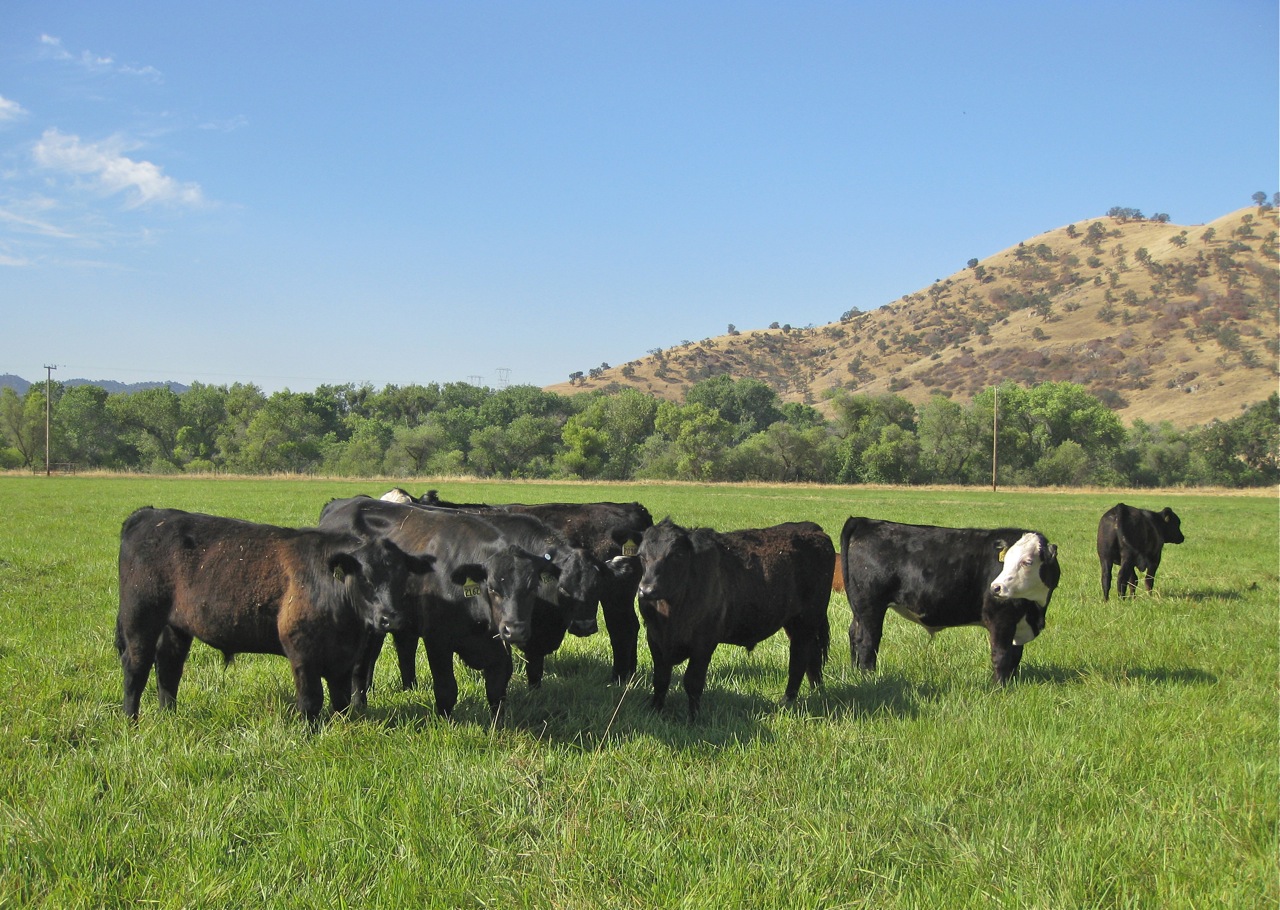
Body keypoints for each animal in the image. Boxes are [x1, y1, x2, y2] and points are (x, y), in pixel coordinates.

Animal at [115, 506, 427, 723]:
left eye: (401, 577)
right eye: (365, 578)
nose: (391, 618)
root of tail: (149, 514)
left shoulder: (343, 656)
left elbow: (340, 699)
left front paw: (342, 726)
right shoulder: (302, 651)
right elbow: (311, 699)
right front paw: (310, 733)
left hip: (175, 626)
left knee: (169, 667)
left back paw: (169, 714)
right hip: (140, 617)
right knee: (136, 668)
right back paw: (131, 721)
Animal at [318, 496, 556, 718]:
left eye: (533, 587)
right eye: (493, 588)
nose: (514, 630)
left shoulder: (499, 649)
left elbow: (497, 691)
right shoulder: (437, 640)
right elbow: (446, 689)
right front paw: (445, 722)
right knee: (360, 664)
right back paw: (359, 704)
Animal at [420, 490, 654, 684]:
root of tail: (636, 508)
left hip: (616, 597)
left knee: (621, 629)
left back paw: (618, 677)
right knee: (629, 627)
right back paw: (628, 675)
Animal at [627, 517, 834, 720]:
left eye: (676, 555)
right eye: (641, 556)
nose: (646, 590)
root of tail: (812, 528)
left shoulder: (704, 642)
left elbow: (693, 682)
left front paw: (694, 719)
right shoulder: (655, 638)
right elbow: (660, 679)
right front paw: (655, 711)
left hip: (807, 620)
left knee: (798, 660)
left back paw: (787, 702)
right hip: (795, 623)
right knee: (812, 656)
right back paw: (817, 692)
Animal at [840, 518, 1061, 685]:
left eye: (1027, 561)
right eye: (1005, 561)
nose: (996, 587)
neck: (1035, 609)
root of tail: (864, 521)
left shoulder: (1018, 623)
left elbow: (1015, 656)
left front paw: (1011, 684)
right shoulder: (1000, 619)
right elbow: (1002, 655)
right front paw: (999, 687)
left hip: (860, 610)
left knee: (854, 635)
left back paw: (855, 673)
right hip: (871, 607)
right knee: (867, 642)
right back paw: (868, 678)